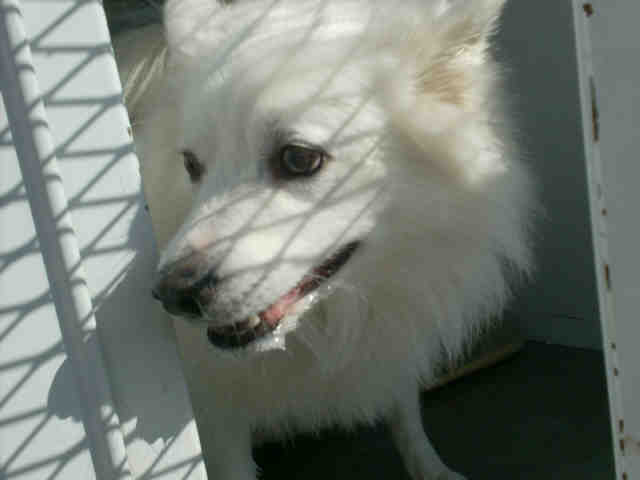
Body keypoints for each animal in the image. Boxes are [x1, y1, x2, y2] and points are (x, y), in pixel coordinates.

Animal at [114, 1, 536, 478]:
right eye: (191, 164)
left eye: (299, 158)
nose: (173, 293)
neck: (332, 324)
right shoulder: (218, 415)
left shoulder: (395, 333)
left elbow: (406, 412)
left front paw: (432, 469)